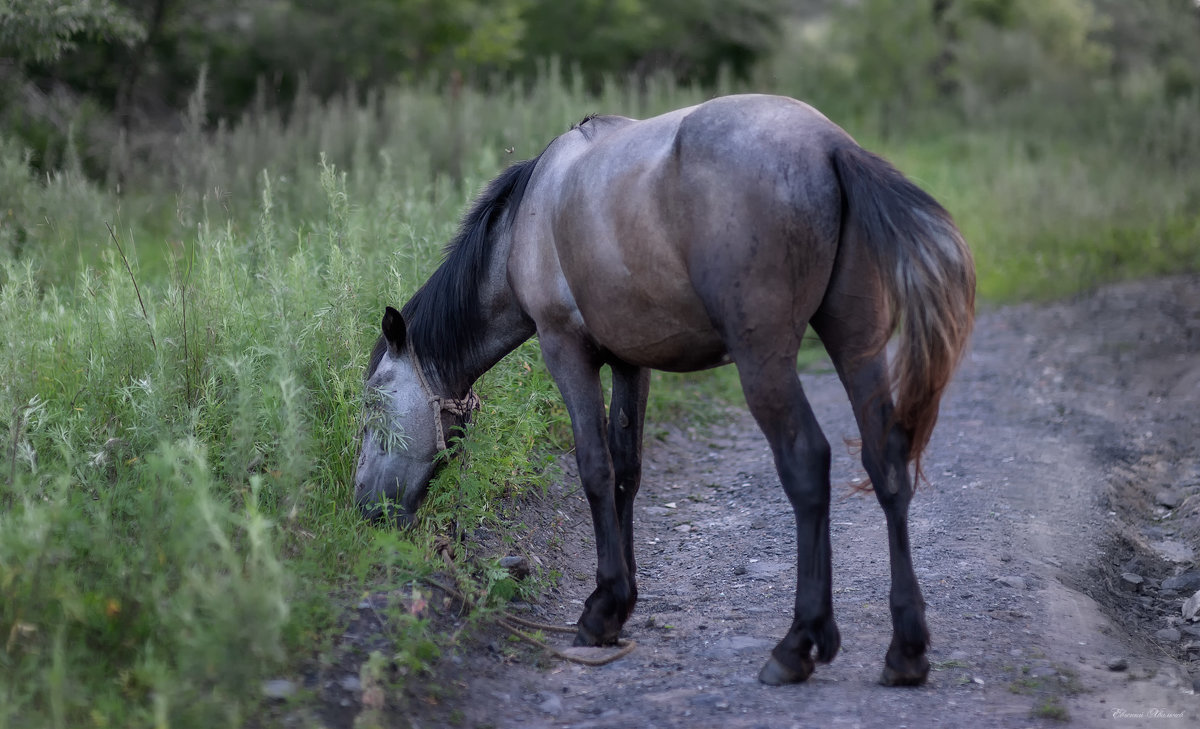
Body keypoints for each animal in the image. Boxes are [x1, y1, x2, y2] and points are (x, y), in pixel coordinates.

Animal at [350, 94, 969, 685]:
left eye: (373, 408)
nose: (364, 509)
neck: (529, 217)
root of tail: (831, 147)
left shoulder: (565, 349)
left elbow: (595, 468)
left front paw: (600, 609)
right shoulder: (631, 362)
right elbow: (627, 469)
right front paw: (617, 607)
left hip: (764, 361)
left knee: (807, 463)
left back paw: (797, 644)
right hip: (855, 340)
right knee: (886, 459)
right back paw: (905, 651)